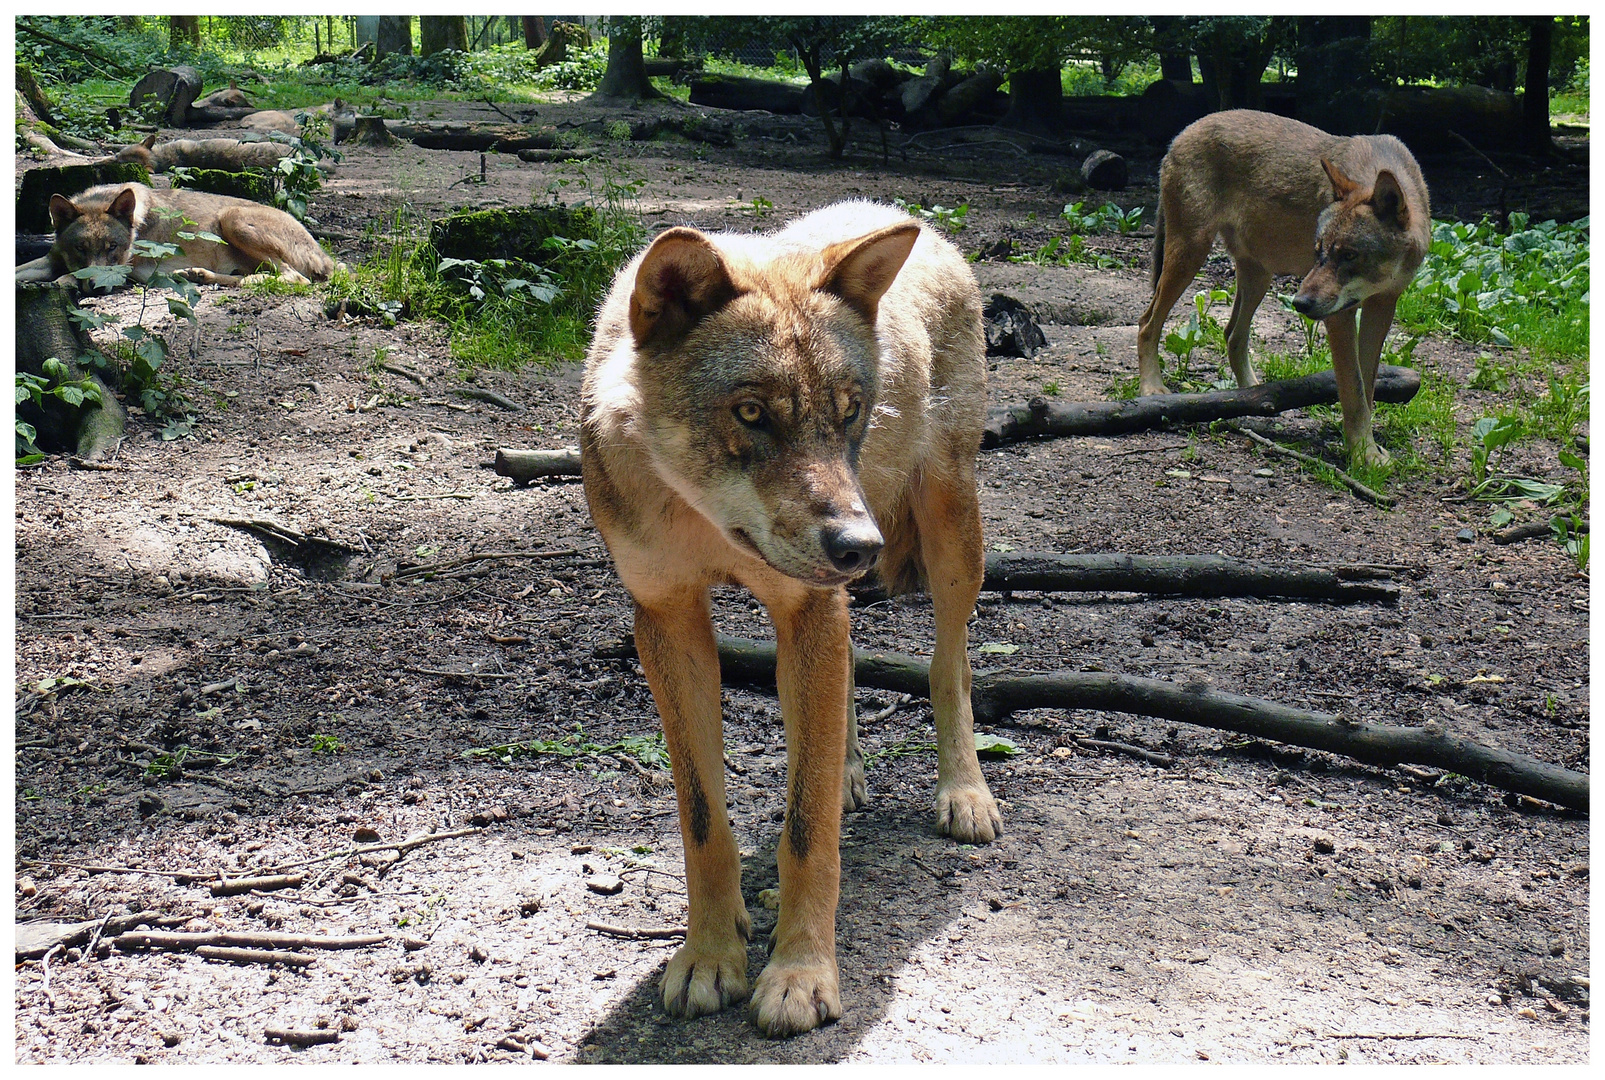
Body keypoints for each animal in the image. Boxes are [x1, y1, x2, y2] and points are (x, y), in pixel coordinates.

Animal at [15, 182, 337, 288]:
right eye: (80, 248)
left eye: (113, 247)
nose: (96, 287)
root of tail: (326, 256)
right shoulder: (50, 259)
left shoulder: (125, 269)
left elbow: (66, 276)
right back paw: (199, 275)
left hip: (232, 218)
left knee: (294, 278)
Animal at [584, 202, 995, 1033]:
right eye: (751, 414)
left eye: (849, 413)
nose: (858, 546)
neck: (701, 519)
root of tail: (906, 219)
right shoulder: (668, 620)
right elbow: (703, 820)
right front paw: (710, 956)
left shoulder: (807, 606)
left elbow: (807, 833)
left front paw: (800, 976)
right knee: (848, 684)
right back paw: (850, 772)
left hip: (949, 537)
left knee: (951, 664)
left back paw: (964, 793)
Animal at [1136, 109, 1438, 468]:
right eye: (1318, 250)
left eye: (1349, 255)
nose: (1300, 303)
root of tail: (1181, 134)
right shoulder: (1340, 316)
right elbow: (1352, 388)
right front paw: (1363, 455)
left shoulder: (1383, 305)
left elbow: (1367, 384)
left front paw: (1364, 447)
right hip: (1189, 255)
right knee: (1147, 323)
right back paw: (1152, 389)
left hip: (1258, 277)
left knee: (1231, 334)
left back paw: (1253, 396)